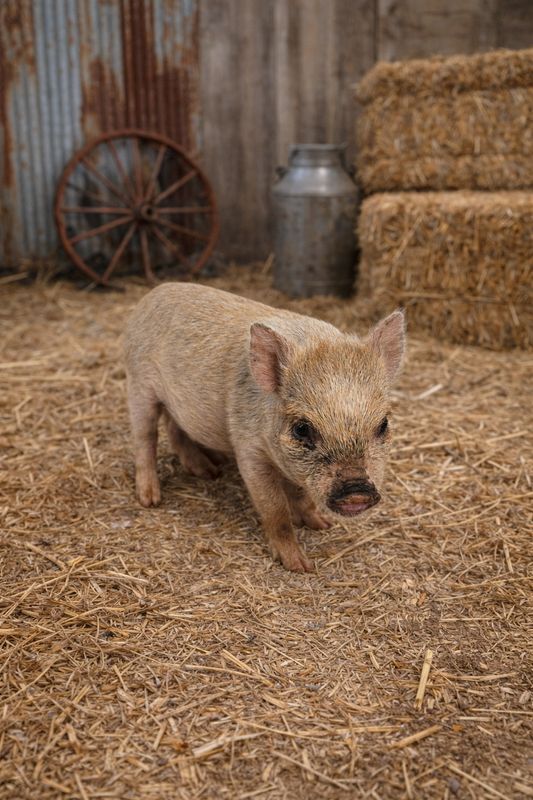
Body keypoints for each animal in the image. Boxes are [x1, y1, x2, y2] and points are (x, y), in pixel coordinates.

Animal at [124, 283, 405, 573]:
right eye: (302, 429)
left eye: (383, 424)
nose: (356, 491)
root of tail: (152, 294)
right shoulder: (248, 450)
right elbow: (274, 508)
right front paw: (300, 566)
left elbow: (301, 495)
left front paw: (322, 525)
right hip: (138, 383)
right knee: (145, 437)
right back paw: (151, 499)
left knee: (174, 427)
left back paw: (210, 471)